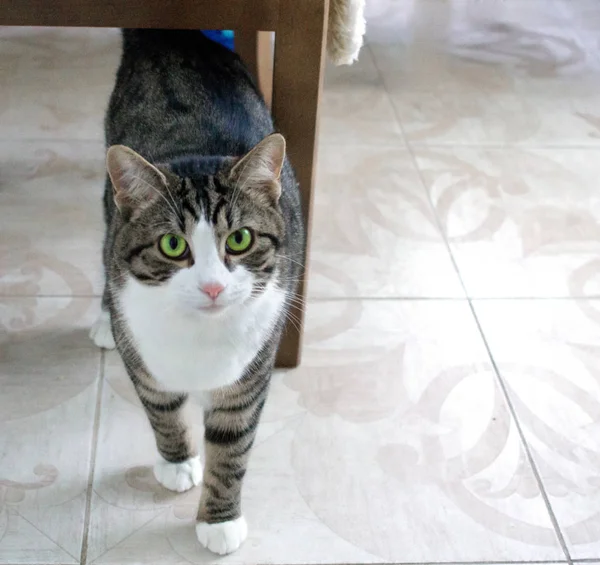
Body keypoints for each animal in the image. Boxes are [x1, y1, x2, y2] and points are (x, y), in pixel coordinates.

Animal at [89, 28, 304, 552]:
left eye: (240, 239)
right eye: (172, 244)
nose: (211, 286)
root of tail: (170, 35)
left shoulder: (250, 372)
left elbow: (232, 445)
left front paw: (219, 521)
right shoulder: (144, 360)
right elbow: (162, 410)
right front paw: (178, 463)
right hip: (110, 199)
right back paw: (103, 318)